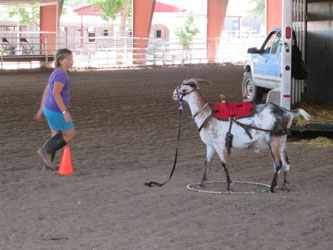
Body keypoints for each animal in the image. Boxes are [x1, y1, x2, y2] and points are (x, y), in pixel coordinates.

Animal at [172, 79, 310, 192]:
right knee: (286, 162)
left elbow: (224, 163)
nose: (173, 94)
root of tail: (286, 112)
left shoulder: (219, 145)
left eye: (182, 89)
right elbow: (207, 163)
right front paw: (201, 184)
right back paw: (285, 186)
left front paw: (229, 186)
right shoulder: (210, 145)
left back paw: (272, 187)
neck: (207, 115)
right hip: (282, 141)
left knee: (278, 163)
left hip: (273, 141)